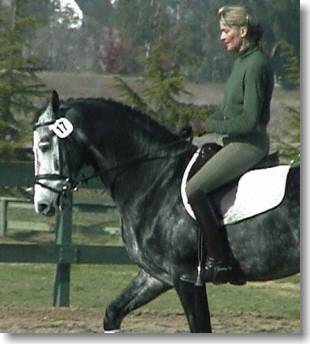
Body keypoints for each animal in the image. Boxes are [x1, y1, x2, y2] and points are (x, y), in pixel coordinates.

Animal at [32, 91, 300, 334]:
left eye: (44, 145)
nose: (42, 204)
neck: (155, 179)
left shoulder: (186, 278)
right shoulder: (156, 276)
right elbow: (112, 313)